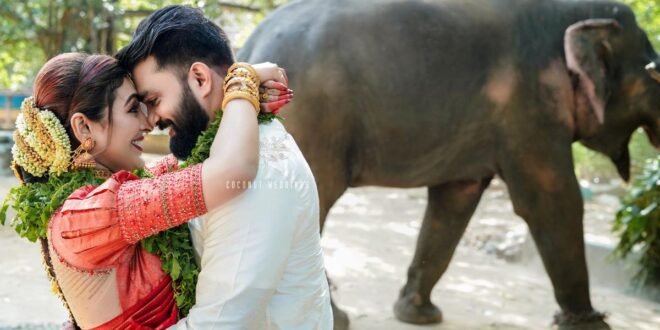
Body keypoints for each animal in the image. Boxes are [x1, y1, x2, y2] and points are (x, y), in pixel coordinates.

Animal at [238, 0, 660, 328]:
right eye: (653, 76)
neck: (571, 12)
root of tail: (249, 47)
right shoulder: (531, 105)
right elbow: (552, 201)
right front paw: (594, 325)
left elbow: (454, 202)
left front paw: (419, 316)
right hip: (316, 118)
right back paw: (331, 319)